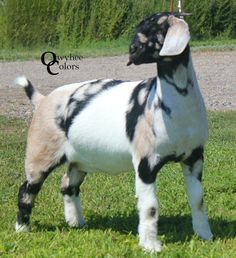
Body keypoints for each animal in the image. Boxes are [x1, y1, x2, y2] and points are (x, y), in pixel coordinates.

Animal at [15, 12, 213, 252]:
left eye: (156, 29)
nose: (132, 50)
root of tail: (42, 100)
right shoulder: (145, 163)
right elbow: (150, 207)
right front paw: (150, 246)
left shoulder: (194, 158)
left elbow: (198, 199)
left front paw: (205, 235)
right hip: (40, 153)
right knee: (27, 189)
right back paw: (22, 229)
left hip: (79, 159)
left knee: (67, 185)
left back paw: (76, 223)